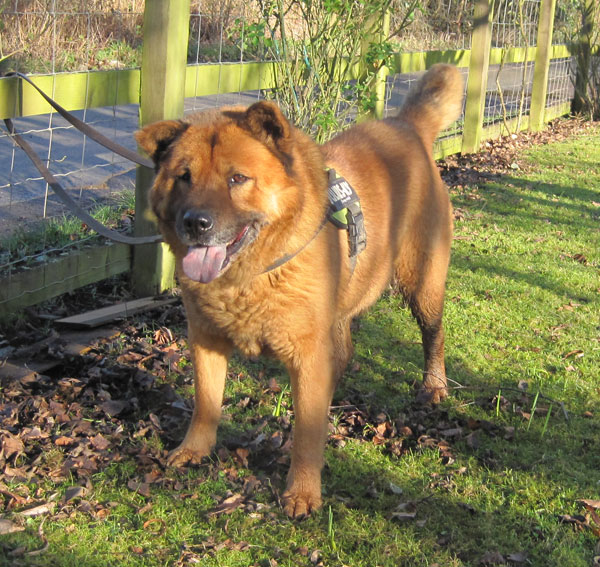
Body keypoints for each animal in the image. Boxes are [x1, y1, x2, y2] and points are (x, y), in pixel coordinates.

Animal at [136, 63, 464, 520]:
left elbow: (307, 433)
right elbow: (206, 402)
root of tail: (407, 126)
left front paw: (303, 492)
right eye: (183, 177)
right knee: (344, 351)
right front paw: (195, 449)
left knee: (434, 333)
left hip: (422, 283)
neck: (248, 277)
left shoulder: (306, 354)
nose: (195, 223)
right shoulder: (206, 340)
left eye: (237, 178)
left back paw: (434, 385)